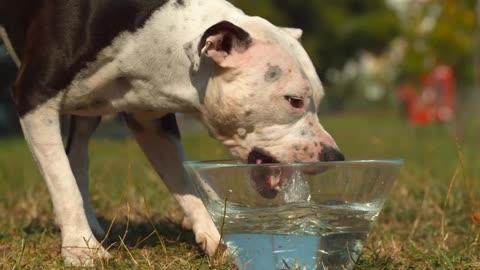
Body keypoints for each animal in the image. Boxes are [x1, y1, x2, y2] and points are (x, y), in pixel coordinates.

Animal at [0, 0, 344, 266]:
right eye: (294, 100)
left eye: (318, 99)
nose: (335, 156)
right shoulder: (34, 98)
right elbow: (62, 183)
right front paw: (81, 250)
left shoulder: (152, 122)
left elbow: (184, 182)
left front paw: (217, 240)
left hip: (89, 109)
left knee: (78, 150)